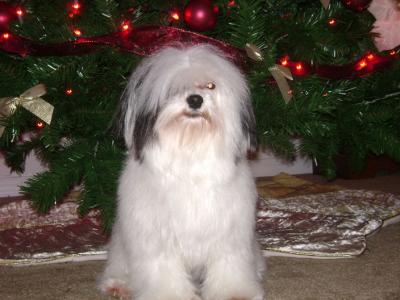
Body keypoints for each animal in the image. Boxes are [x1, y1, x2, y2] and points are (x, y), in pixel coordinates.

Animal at [99, 44, 266, 300]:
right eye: (172, 89)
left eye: (210, 86)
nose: (195, 99)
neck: (189, 154)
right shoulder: (157, 237)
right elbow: (163, 269)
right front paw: (168, 294)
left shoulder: (229, 234)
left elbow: (228, 264)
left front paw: (234, 292)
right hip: (121, 247)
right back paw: (118, 285)